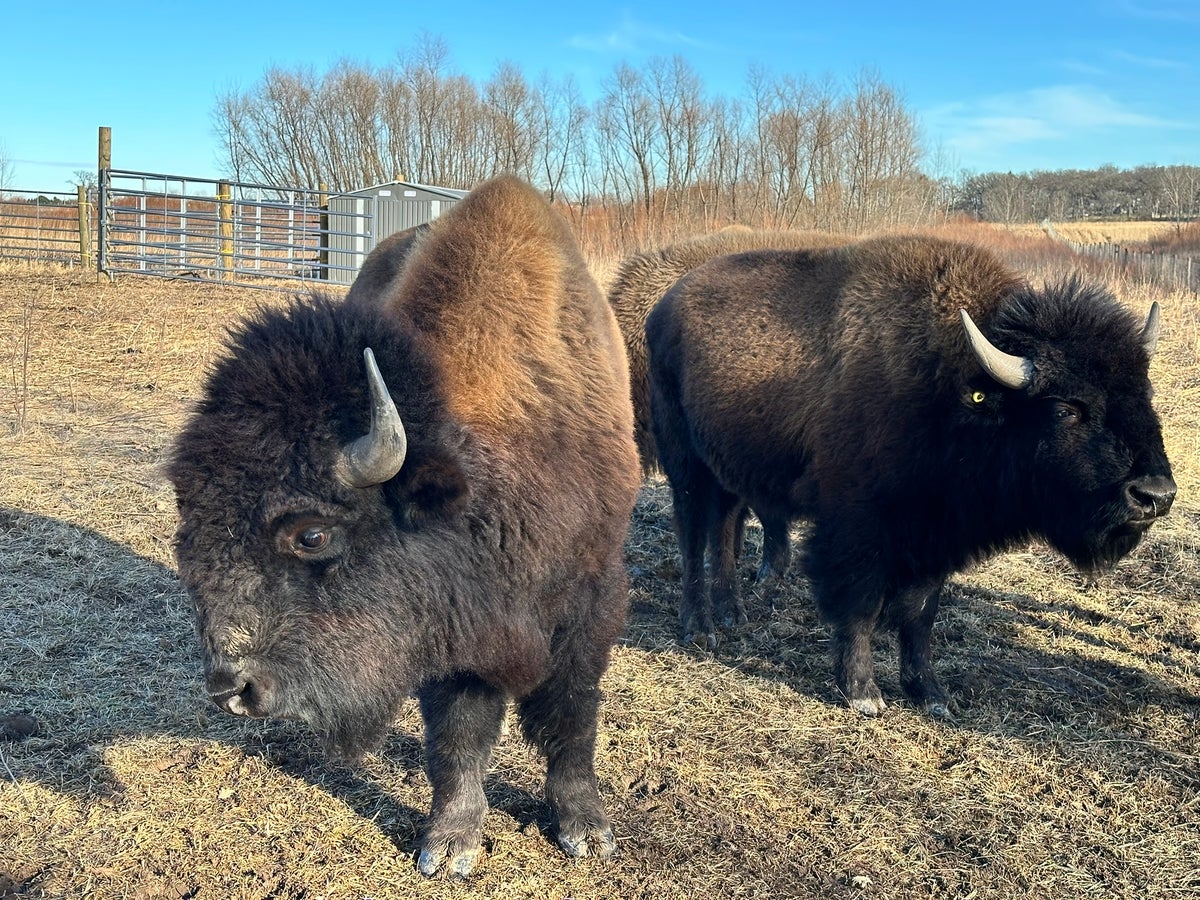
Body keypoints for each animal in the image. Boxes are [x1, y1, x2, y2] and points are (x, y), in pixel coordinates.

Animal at [168, 176, 640, 876]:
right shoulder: (450, 628)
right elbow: (460, 734)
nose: (232, 687)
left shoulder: (592, 599)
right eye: (189, 531)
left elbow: (572, 715)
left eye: (312, 535)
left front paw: (586, 829)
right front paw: (449, 845)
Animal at [646, 234, 1175, 716]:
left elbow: (920, 613)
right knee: (693, 538)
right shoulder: (858, 529)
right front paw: (863, 693)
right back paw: (700, 629)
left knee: (725, 529)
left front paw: (932, 696)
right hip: (685, 464)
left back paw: (732, 613)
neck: (954, 391)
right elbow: (860, 603)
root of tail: (663, 307)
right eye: (1066, 408)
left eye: (1145, 393)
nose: (1154, 495)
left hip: (727, 468)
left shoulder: (935, 535)